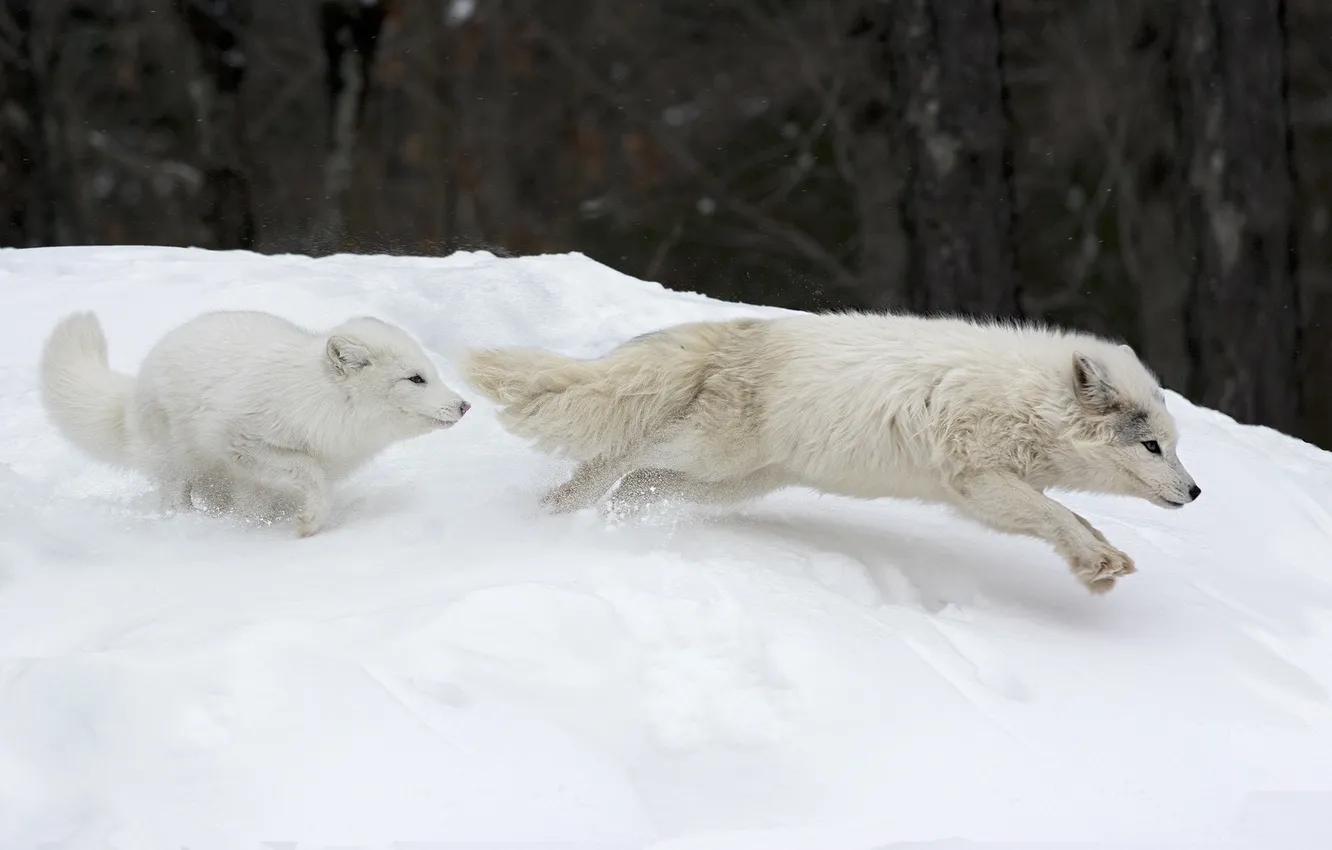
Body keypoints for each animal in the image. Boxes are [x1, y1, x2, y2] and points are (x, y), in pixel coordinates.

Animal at [41, 309, 471, 535]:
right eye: (416, 379)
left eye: (432, 374)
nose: (465, 405)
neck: (322, 402)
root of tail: (134, 388)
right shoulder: (243, 443)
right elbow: (310, 476)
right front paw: (308, 524)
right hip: (178, 465)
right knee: (175, 496)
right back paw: (186, 523)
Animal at [471, 309, 1209, 596]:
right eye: (1153, 446)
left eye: (1174, 447)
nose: (1197, 492)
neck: (1028, 401)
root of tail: (738, 331)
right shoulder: (978, 483)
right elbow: (1059, 517)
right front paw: (1097, 563)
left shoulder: (993, 488)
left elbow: (1074, 519)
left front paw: (1100, 563)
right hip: (706, 455)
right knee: (613, 458)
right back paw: (551, 512)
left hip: (724, 481)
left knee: (634, 484)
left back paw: (599, 523)